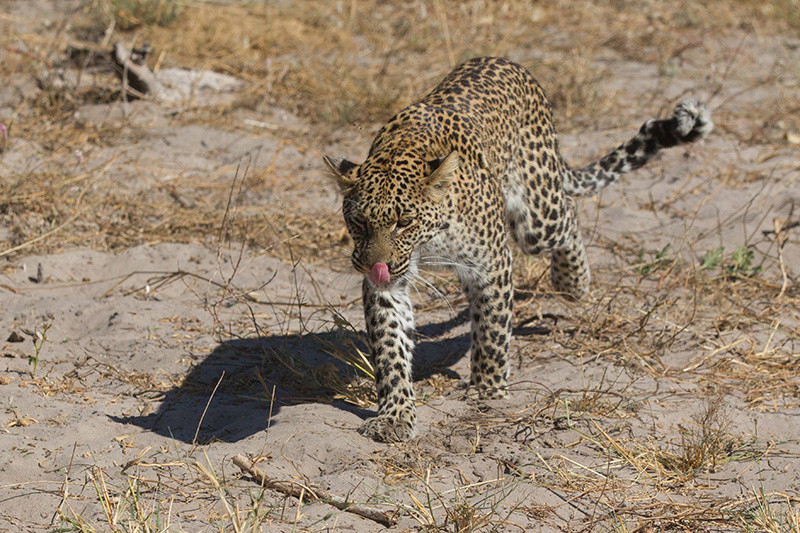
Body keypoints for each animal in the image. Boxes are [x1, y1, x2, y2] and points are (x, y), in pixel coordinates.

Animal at [324, 57, 712, 443]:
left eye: (403, 222)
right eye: (358, 222)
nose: (375, 266)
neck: (429, 239)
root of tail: (507, 62)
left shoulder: (491, 263)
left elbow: (492, 328)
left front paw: (488, 388)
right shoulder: (392, 282)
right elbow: (390, 346)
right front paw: (395, 415)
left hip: (537, 217)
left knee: (568, 212)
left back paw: (573, 283)